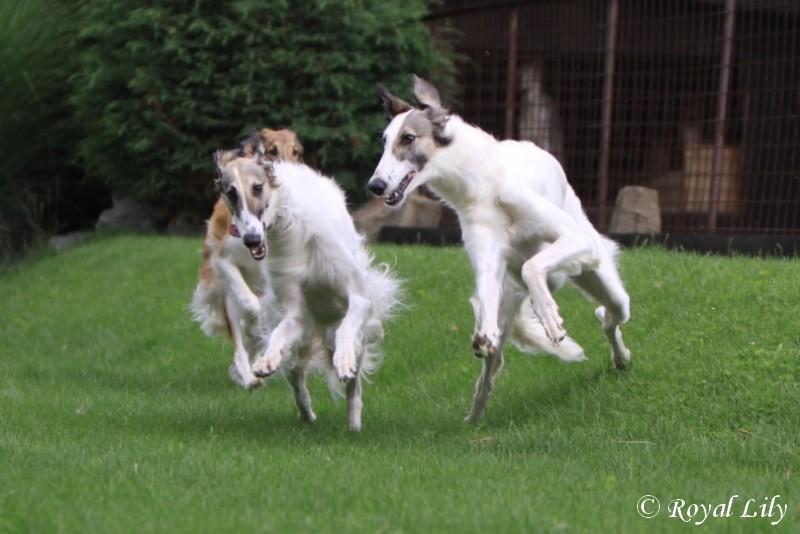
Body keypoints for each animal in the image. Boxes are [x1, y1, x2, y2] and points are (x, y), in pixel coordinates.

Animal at [191, 128, 304, 392]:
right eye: (231, 193)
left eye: (257, 187)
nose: (252, 240)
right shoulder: (224, 261)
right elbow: (251, 305)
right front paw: (254, 328)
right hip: (226, 295)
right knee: (240, 347)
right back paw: (247, 376)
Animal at [212, 153, 400, 434]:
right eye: (230, 193)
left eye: (257, 187)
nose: (251, 240)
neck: (291, 223)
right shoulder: (296, 312)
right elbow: (279, 335)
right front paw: (266, 361)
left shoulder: (358, 296)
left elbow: (347, 328)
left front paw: (343, 361)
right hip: (298, 346)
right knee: (297, 381)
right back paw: (306, 413)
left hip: (356, 340)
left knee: (353, 389)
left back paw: (353, 423)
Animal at [368, 76, 632, 428]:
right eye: (384, 142)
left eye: (408, 138)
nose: (375, 186)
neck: (481, 186)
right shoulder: (489, 262)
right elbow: (489, 291)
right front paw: (489, 332)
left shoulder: (573, 239)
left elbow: (532, 266)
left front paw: (550, 316)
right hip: (512, 306)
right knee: (489, 373)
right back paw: (474, 416)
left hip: (603, 279)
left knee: (608, 318)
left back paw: (621, 357)